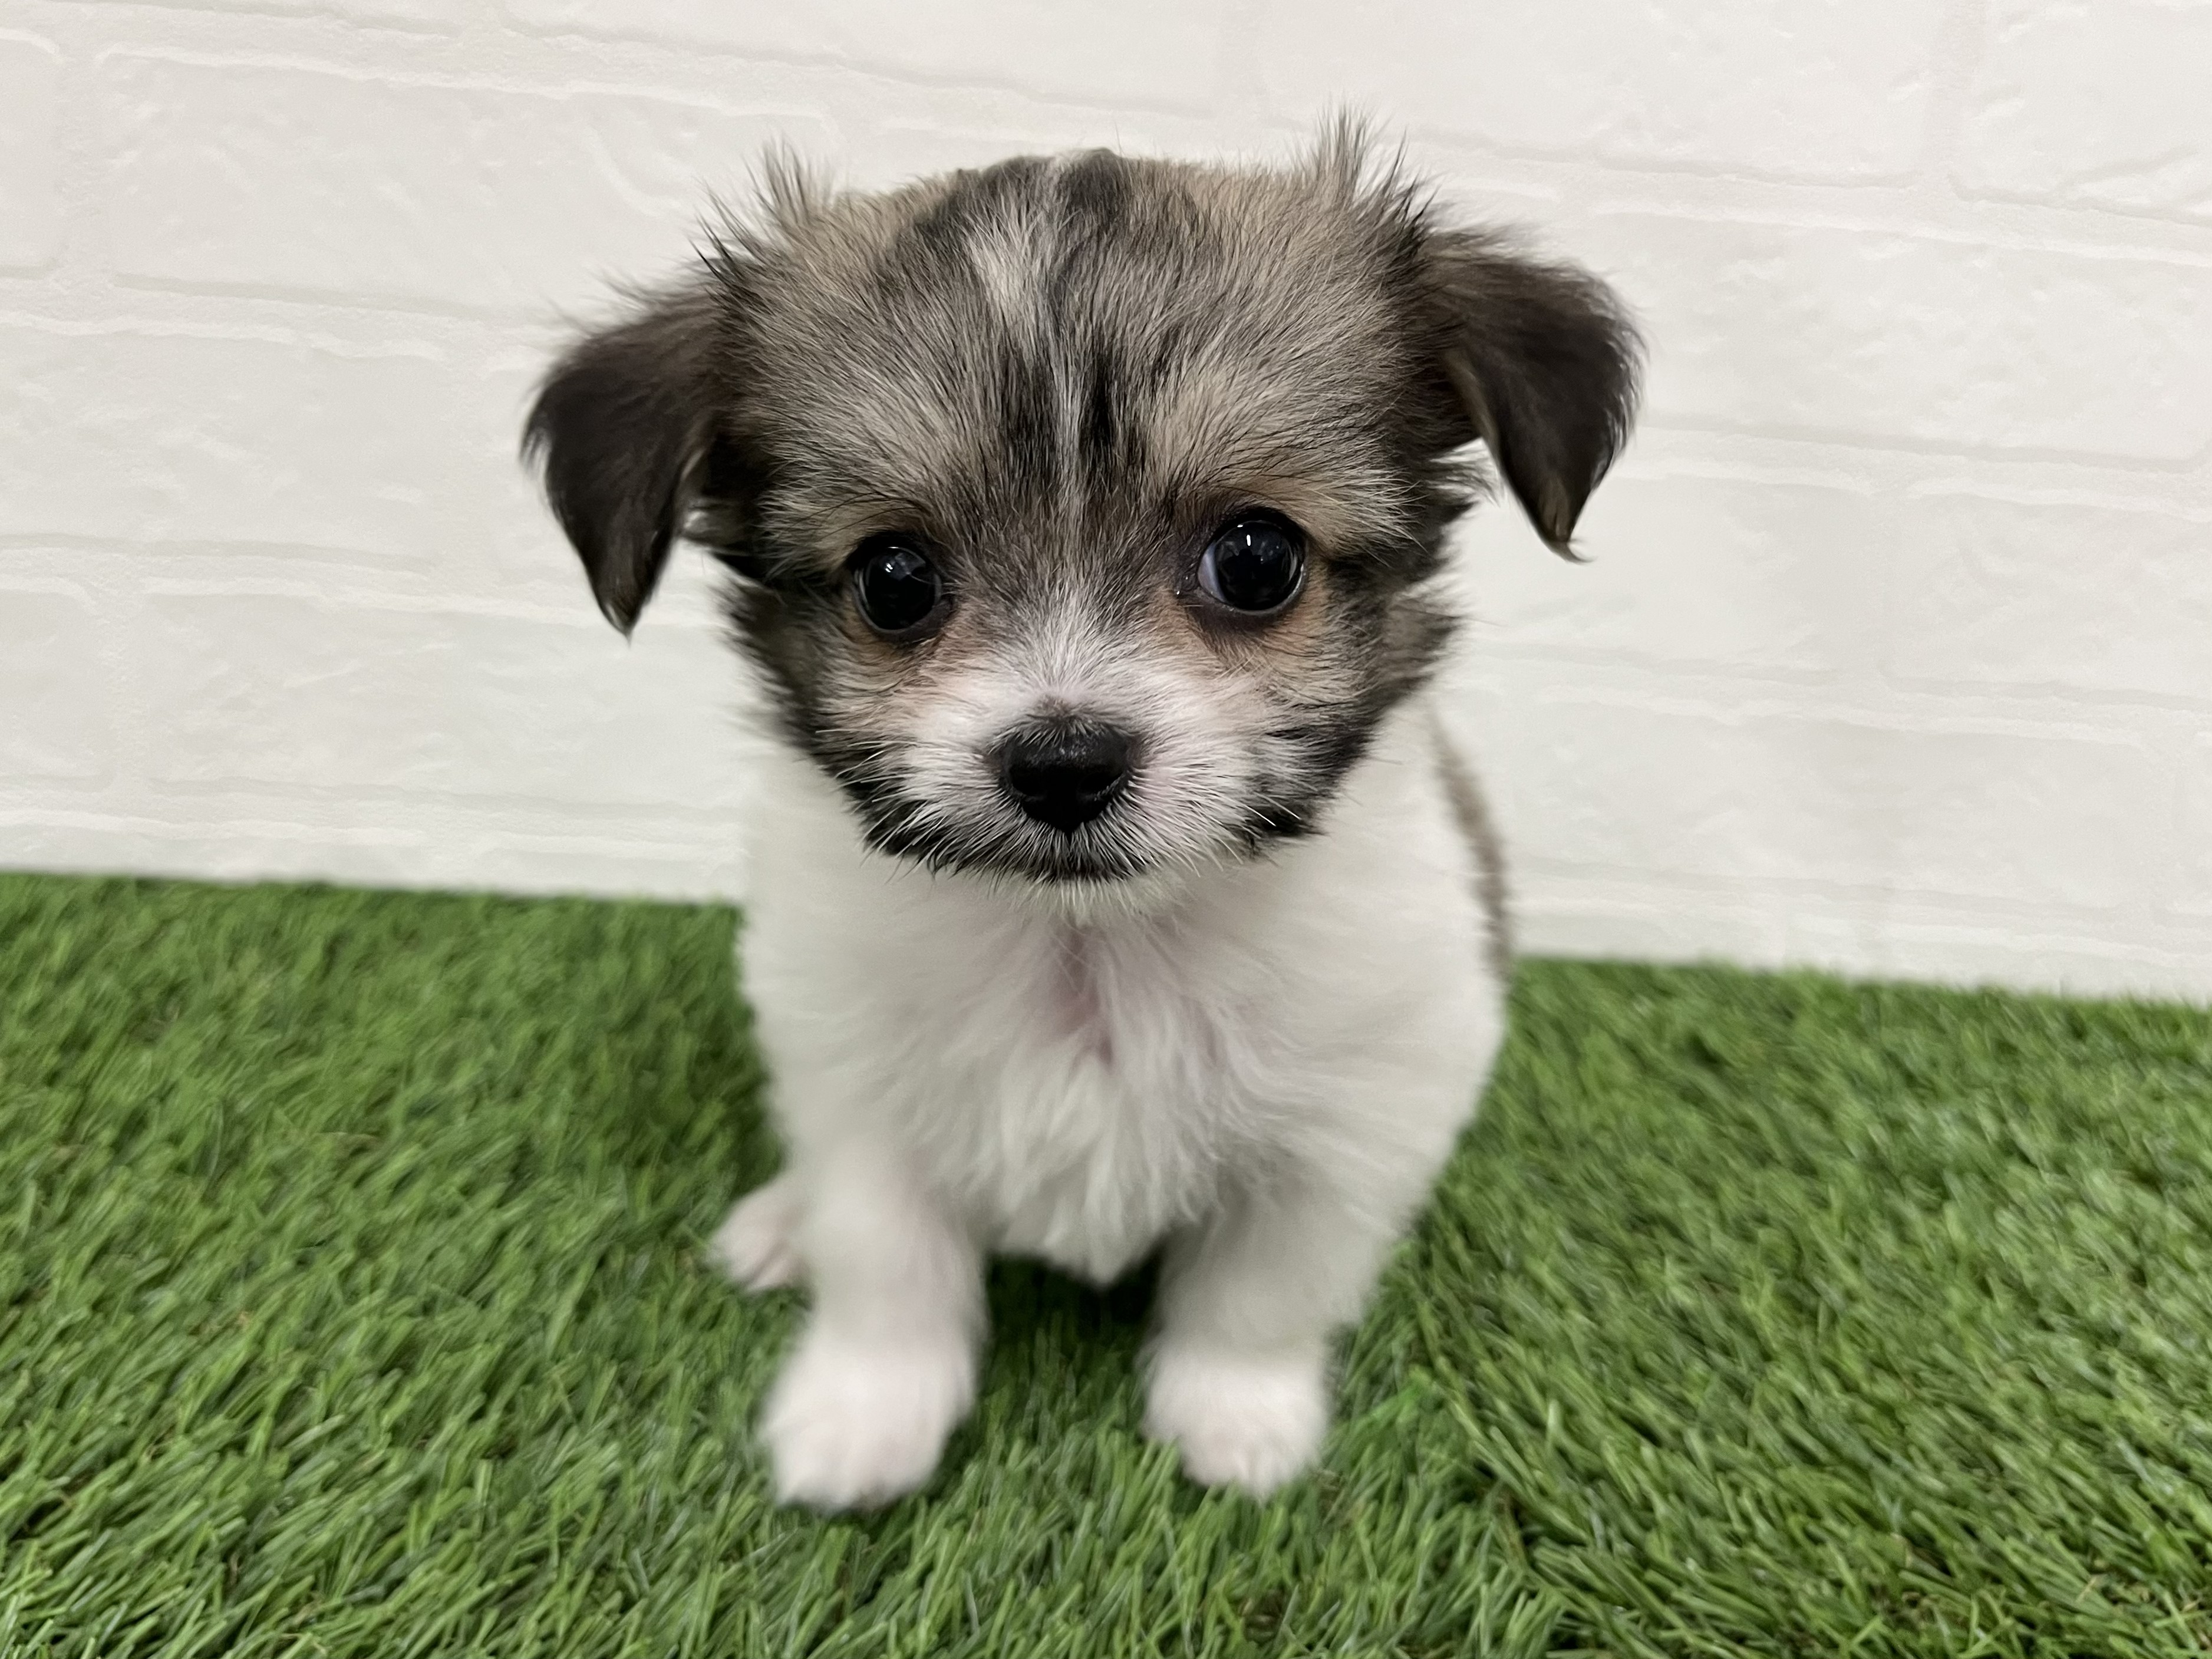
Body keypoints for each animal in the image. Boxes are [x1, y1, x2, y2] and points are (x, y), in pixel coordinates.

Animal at [524, 126, 1639, 1510]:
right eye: (894, 580)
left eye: (1255, 559)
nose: (1063, 763)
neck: (1091, 944)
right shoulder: (851, 1080)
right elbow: (886, 1260)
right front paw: (860, 1419)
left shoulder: (1363, 1104)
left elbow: (1263, 1284)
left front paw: (1236, 1420)